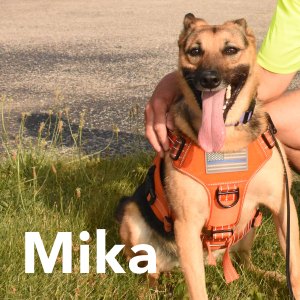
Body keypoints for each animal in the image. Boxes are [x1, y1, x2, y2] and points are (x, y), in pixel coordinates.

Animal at [116, 13, 300, 298]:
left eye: (230, 50)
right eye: (195, 51)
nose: (210, 79)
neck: (227, 144)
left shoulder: (283, 207)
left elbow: (294, 268)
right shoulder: (187, 225)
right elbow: (197, 289)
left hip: (251, 227)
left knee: (244, 261)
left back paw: (268, 274)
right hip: (133, 219)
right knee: (148, 268)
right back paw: (154, 288)